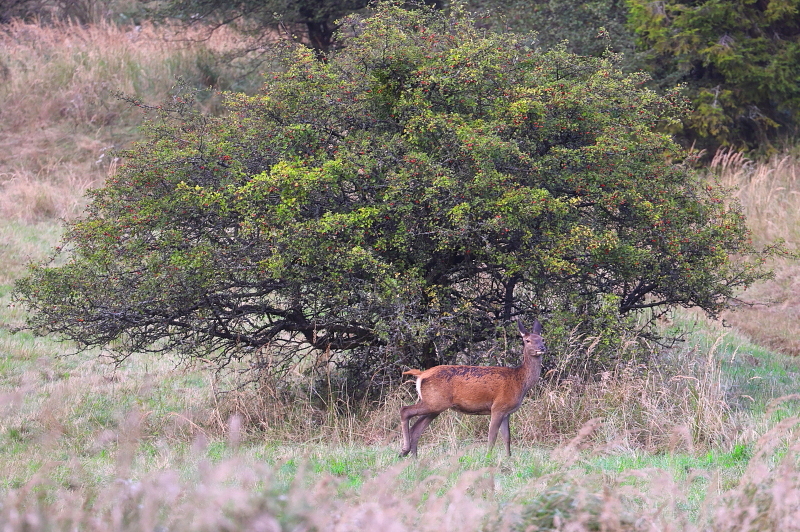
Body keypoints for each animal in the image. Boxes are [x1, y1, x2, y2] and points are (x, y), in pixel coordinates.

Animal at [398, 318, 548, 460]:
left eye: (542, 339)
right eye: (527, 340)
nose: (542, 348)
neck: (519, 381)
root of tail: (421, 374)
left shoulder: (507, 412)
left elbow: (507, 438)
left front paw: (508, 458)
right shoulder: (498, 407)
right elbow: (492, 437)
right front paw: (488, 458)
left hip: (435, 406)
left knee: (416, 428)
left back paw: (413, 457)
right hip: (434, 402)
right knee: (405, 410)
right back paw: (404, 451)